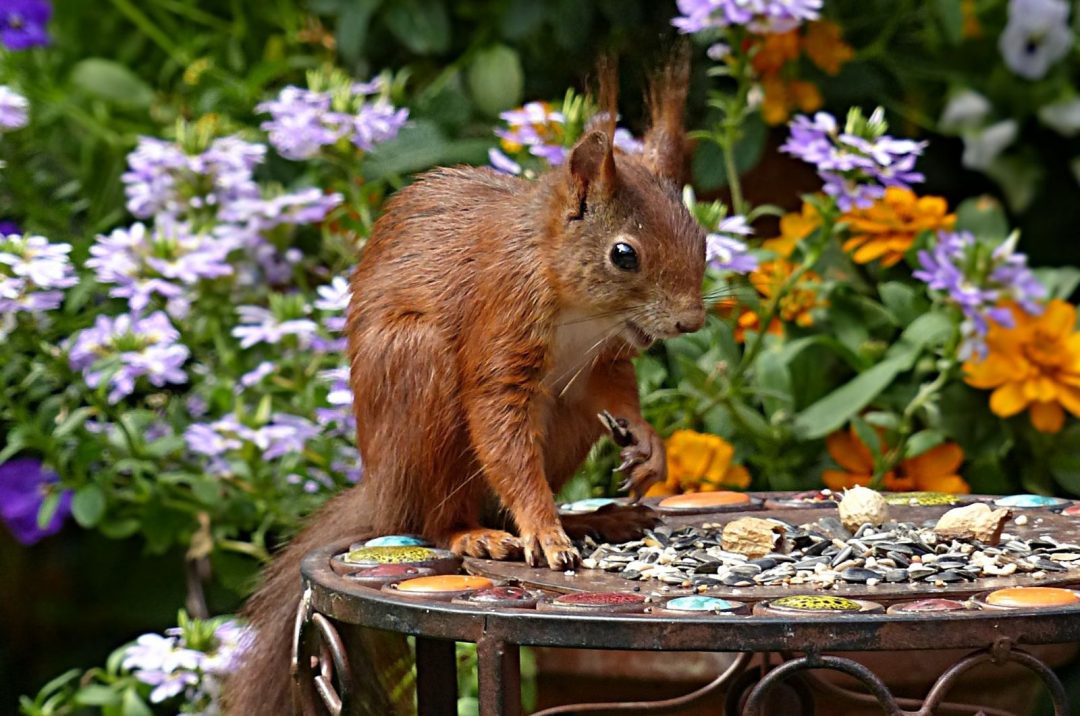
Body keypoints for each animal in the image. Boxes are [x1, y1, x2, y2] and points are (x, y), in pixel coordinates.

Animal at [226, 49, 704, 715]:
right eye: (624, 254)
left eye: (699, 233)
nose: (691, 320)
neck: (582, 309)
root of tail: (382, 488)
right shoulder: (501, 315)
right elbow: (499, 422)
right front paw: (543, 529)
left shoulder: (604, 357)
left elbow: (613, 392)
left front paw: (646, 444)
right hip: (418, 377)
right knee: (435, 516)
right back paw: (478, 534)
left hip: (565, 421)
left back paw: (591, 521)